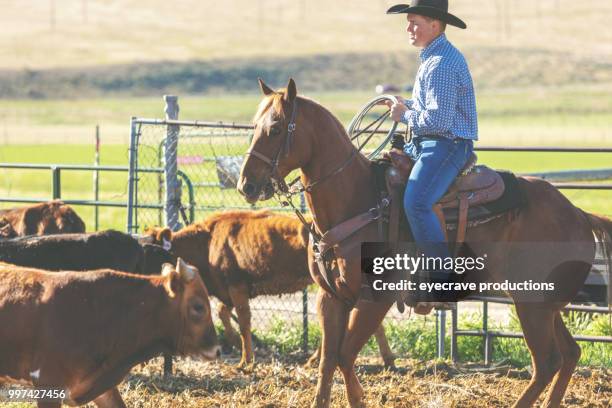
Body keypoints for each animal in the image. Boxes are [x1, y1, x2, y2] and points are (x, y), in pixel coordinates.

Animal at [142, 212, 392, 368]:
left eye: (153, 251)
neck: (209, 239)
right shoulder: (228, 290)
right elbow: (223, 312)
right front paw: (235, 342)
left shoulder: (236, 285)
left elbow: (244, 321)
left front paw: (246, 359)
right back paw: (386, 360)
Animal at [238, 78, 612, 406]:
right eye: (254, 125)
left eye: (275, 128)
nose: (246, 185)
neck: (359, 200)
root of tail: (578, 213)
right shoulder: (331, 298)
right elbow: (328, 361)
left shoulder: (375, 299)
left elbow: (344, 356)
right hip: (543, 303)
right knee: (570, 353)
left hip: (532, 305)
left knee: (547, 361)